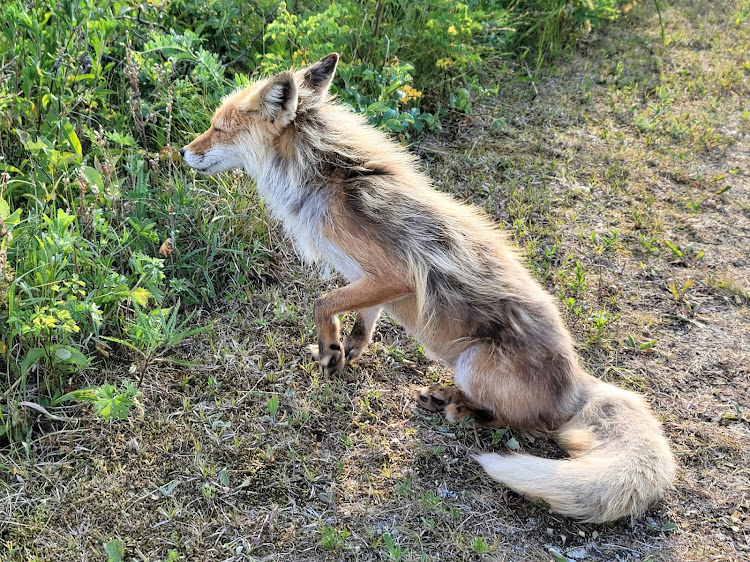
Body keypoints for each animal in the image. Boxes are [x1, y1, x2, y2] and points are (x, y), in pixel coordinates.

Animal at [181, 54, 676, 524]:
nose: (184, 151)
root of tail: (575, 383)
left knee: (524, 425)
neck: (326, 176)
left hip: (473, 365)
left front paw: (330, 350)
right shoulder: (368, 281)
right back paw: (444, 397)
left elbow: (323, 303)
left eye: (217, 128)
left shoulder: (393, 274)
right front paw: (350, 350)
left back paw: (461, 409)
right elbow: (363, 320)